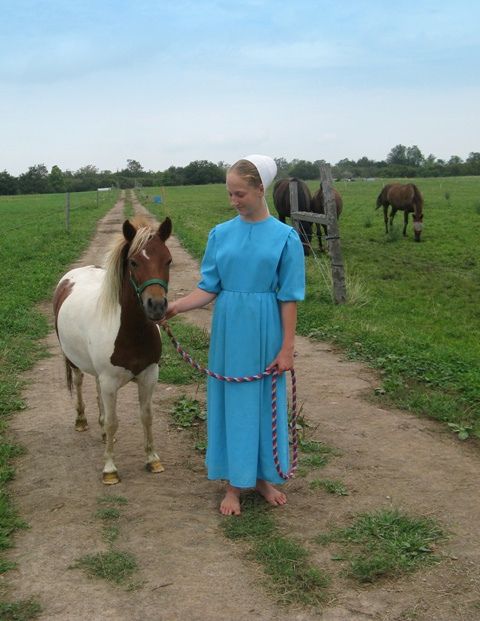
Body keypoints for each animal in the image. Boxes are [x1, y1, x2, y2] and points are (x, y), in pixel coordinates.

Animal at [54, 216, 172, 482]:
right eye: (134, 262)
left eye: (168, 260)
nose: (156, 306)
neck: (130, 331)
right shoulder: (109, 380)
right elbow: (112, 421)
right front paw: (109, 469)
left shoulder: (149, 376)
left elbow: (146, 416)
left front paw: (153, 459)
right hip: (74, 362)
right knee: (79, 383)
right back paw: (81, 420)